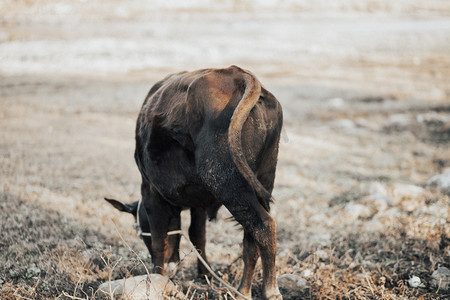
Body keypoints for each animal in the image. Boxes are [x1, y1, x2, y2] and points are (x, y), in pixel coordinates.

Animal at [106, 66, 282, 300]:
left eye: (140, 230)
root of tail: (238, 74)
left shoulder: (151, 192)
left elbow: (159, 239)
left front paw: (156, 277)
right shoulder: (199, 203)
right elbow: (197, 235)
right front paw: (203, 274)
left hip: (228, 183)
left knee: (263, 226)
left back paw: (262, 290)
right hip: (263, 180)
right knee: (251, 239)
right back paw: (244, 289)